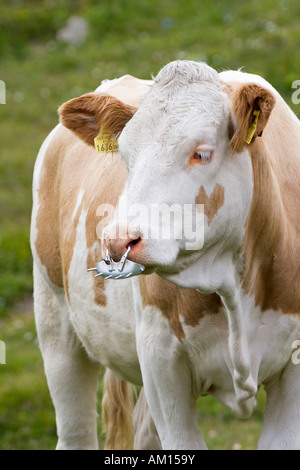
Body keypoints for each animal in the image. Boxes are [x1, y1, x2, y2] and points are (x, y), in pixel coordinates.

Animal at [30, 60, 300, 450]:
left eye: (201, 153)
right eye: (125, 155)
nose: (118, 240)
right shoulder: (161, 366)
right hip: (55, 324)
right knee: (76, 430)